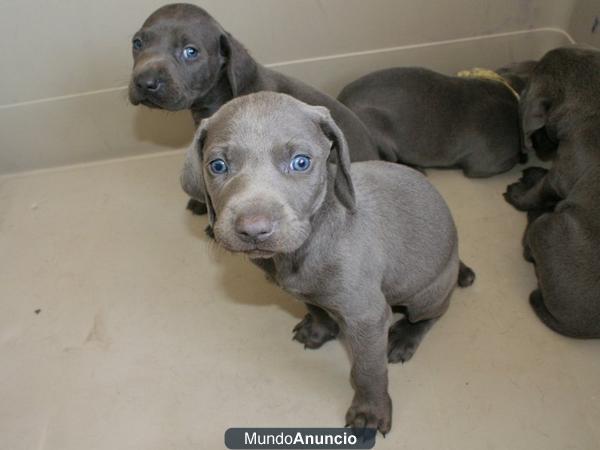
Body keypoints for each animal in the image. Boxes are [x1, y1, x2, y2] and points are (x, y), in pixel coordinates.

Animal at [180, 91, 476, 432]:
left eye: (301, 162)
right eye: (217, 165)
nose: (253, 230)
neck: (301, 249)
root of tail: (456, 254)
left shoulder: (367, 317)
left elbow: (368, 370)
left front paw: (370, 411)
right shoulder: (301, 290)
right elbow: (315, 308)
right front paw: (319, 330)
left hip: (427, 294)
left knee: (432, 314)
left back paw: (405, 336)